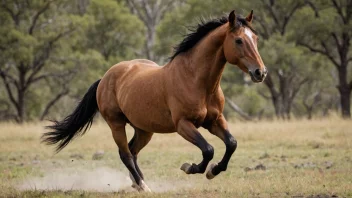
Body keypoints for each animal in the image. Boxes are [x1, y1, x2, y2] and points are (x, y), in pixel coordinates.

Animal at [42, 10, 266, 193]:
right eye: (239, 40)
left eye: (255, 38)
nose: (260, 72)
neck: (196, 80)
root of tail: (105, 78)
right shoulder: (183, 125)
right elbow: (208, 150)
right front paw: (190, 168)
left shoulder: (214, 121)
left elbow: (231, 144)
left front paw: (213, 171)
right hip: (116, 124)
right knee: (125, 154)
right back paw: (143, 186)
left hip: (144, 129)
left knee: (132, 151)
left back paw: (136, 183)